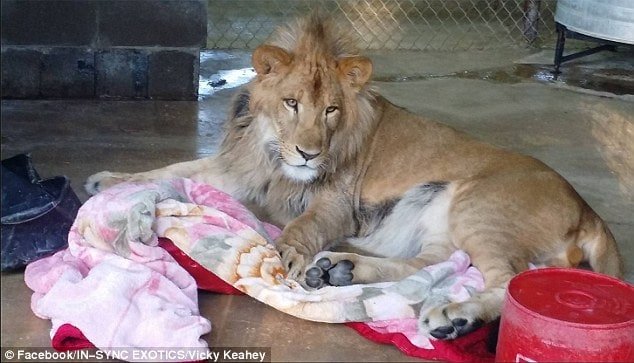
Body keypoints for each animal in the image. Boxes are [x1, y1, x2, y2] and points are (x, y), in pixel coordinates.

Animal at [85, 15, 624, 342]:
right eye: (292, 103)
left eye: (331, 111)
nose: (308, 153)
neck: (270, 150)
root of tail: (589, 210)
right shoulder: (237, 170)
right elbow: (172, 170)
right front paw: (109, 181)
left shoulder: (336, 203)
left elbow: (302, 227)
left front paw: (285, 257)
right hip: (430, 210)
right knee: (428, 265)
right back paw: (339, 270)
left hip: (476, 204)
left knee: (504, 280)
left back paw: (453, 315)